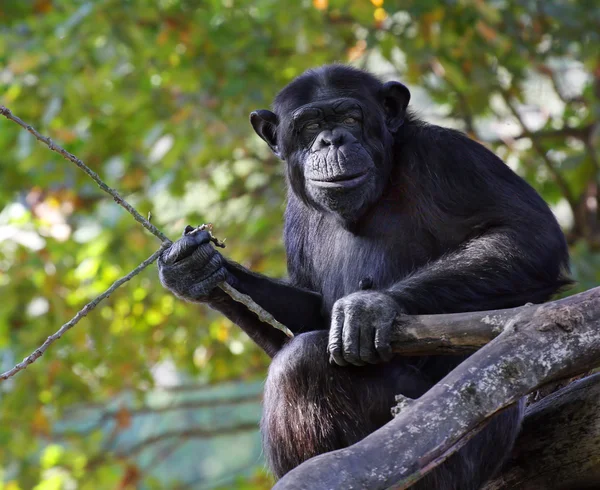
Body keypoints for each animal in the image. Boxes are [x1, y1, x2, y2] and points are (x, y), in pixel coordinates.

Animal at [157, 66, 568, 490]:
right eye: (309, 126)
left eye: (350, 118)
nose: (331, 139)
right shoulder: (294, 212)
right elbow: (310, 315)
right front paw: (195, 268)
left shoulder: (449, 156)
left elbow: (526, 234)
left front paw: (369, 308)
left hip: (445, 451)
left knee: (302, 363)